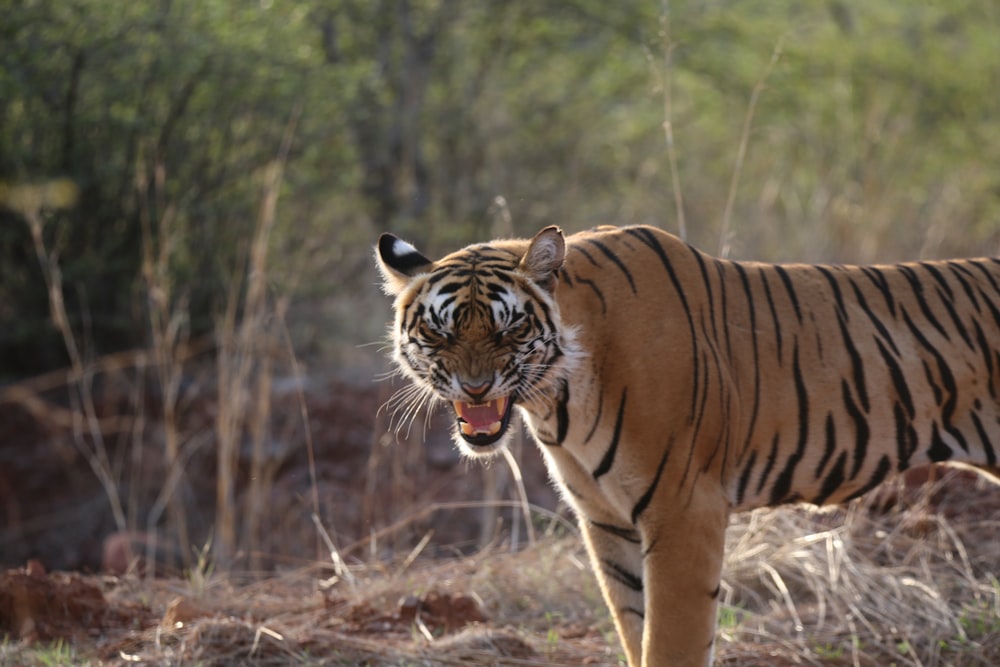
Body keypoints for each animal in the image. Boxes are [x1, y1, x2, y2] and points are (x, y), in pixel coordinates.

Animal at [374, 226, 1000, 667]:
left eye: (509, 329)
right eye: (440, 332)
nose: (475, 387)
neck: (559, 397)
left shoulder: (683, 509)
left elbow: (671, 642)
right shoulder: (605, 518)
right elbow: (634, 628)